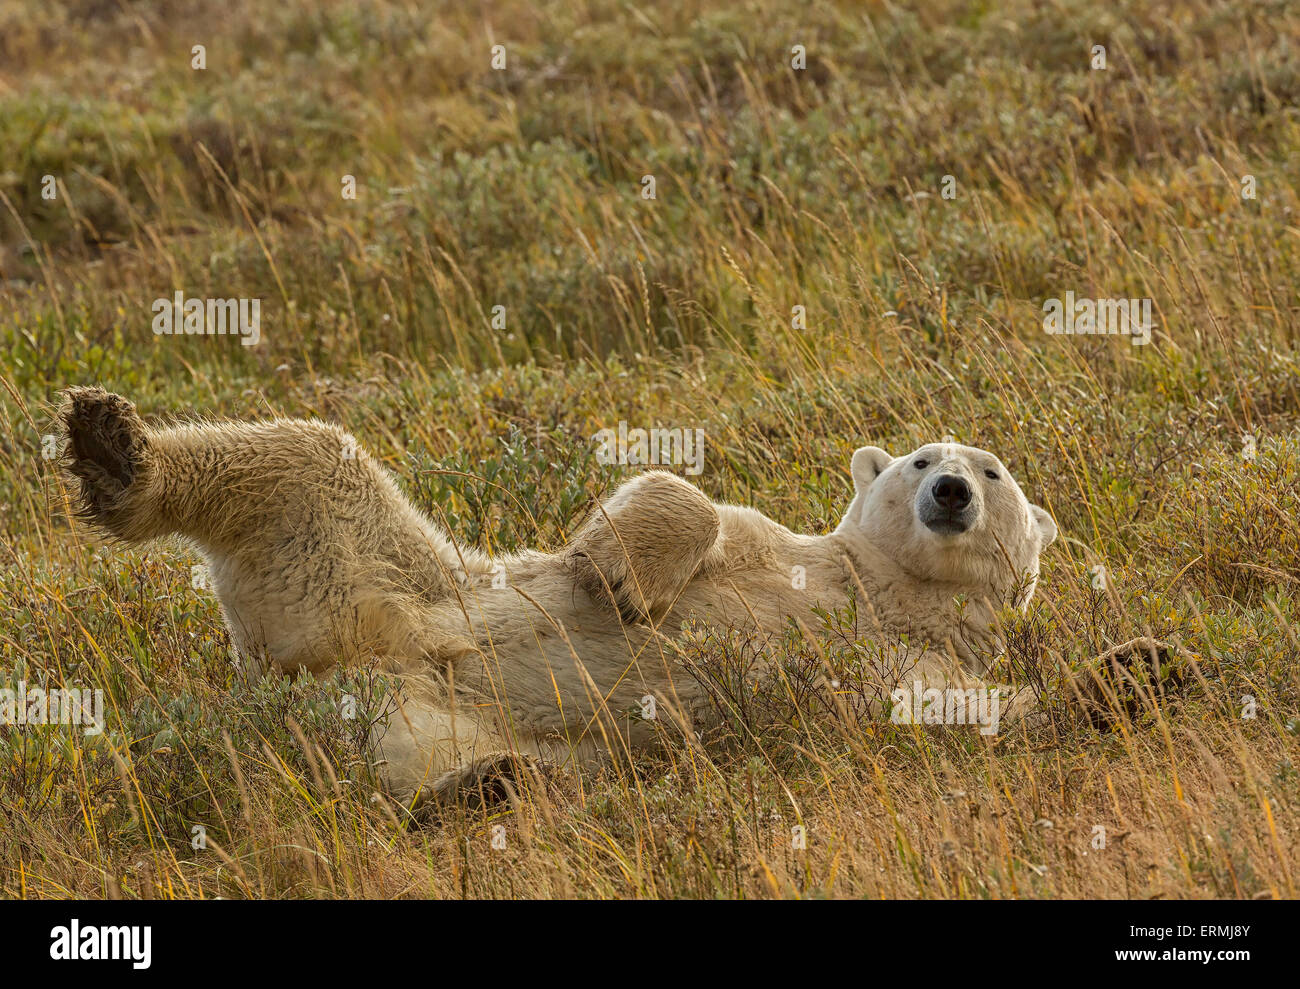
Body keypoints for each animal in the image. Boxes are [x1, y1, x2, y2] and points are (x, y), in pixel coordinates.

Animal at [58, 382, 1159, 805]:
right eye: (925, 455)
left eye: (996, 470)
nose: (952, 491)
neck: (882, 592)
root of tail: (308, 672)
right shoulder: (785, 550)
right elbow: (689, 502)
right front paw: (623, 571)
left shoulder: (913, 653)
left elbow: (948, 709)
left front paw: (1139, 668)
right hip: (371, 562)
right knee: (300, 455)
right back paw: (113, 446)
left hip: (410, 700)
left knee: (437, 761)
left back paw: (483, 788)